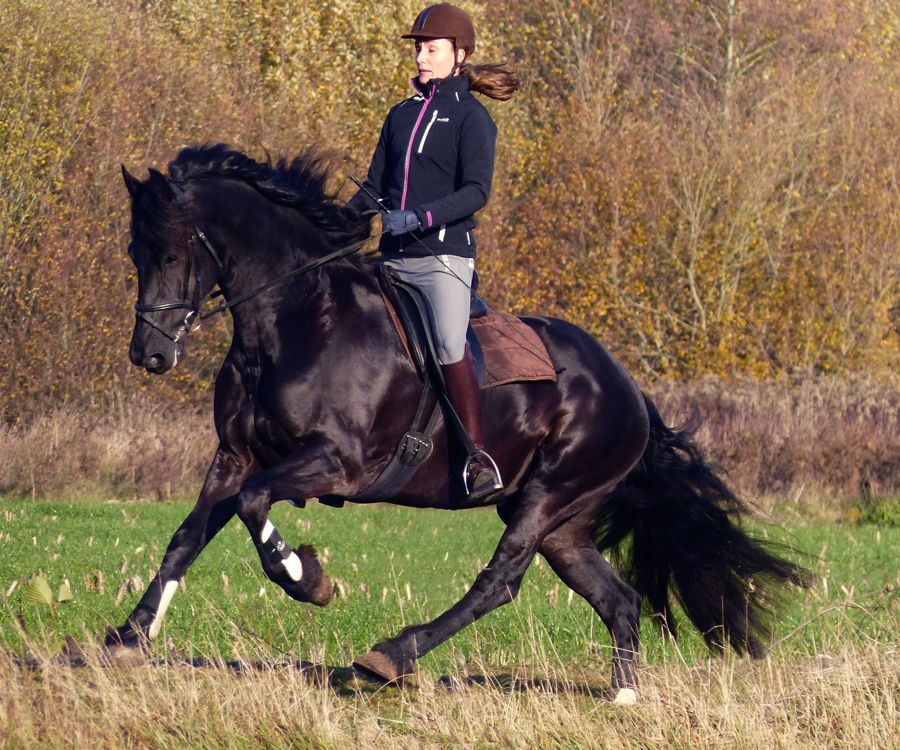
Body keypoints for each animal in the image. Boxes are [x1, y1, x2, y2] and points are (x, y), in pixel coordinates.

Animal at [113, 144, 805, 702]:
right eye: (134, 253)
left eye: (171, 252)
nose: (149, 356)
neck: (294, 320)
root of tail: (628, 389)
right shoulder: (235, 456)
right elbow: (187, 535)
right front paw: (128, 637)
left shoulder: (334, 462)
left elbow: (257, 506)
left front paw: (307, 579)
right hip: (564, 522)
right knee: (617, 598)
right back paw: (623, 696)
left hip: (550, 495)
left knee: (499, 581)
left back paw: (390, 656)